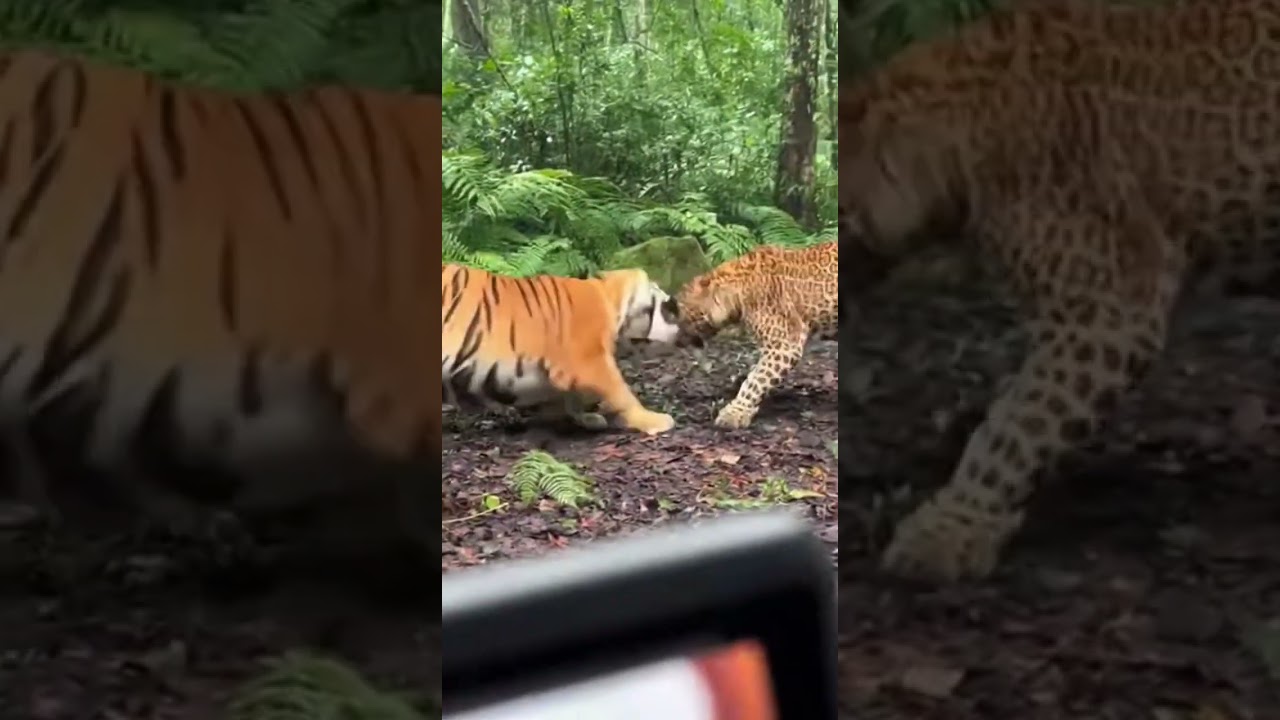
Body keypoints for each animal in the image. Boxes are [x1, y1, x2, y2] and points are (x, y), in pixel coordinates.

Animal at [441, 263, 681, 435]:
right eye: (664, 304)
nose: (676, 307)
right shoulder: (591, 360)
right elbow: (621, 392)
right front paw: (653, 419)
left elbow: (570, 395)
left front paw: (585, 418)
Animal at [675, 241, 838, 429]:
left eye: (682, 311)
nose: (677, 339)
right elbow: (757, 374)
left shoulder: (784, 345)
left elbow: (757, 380)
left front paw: (734, 413)